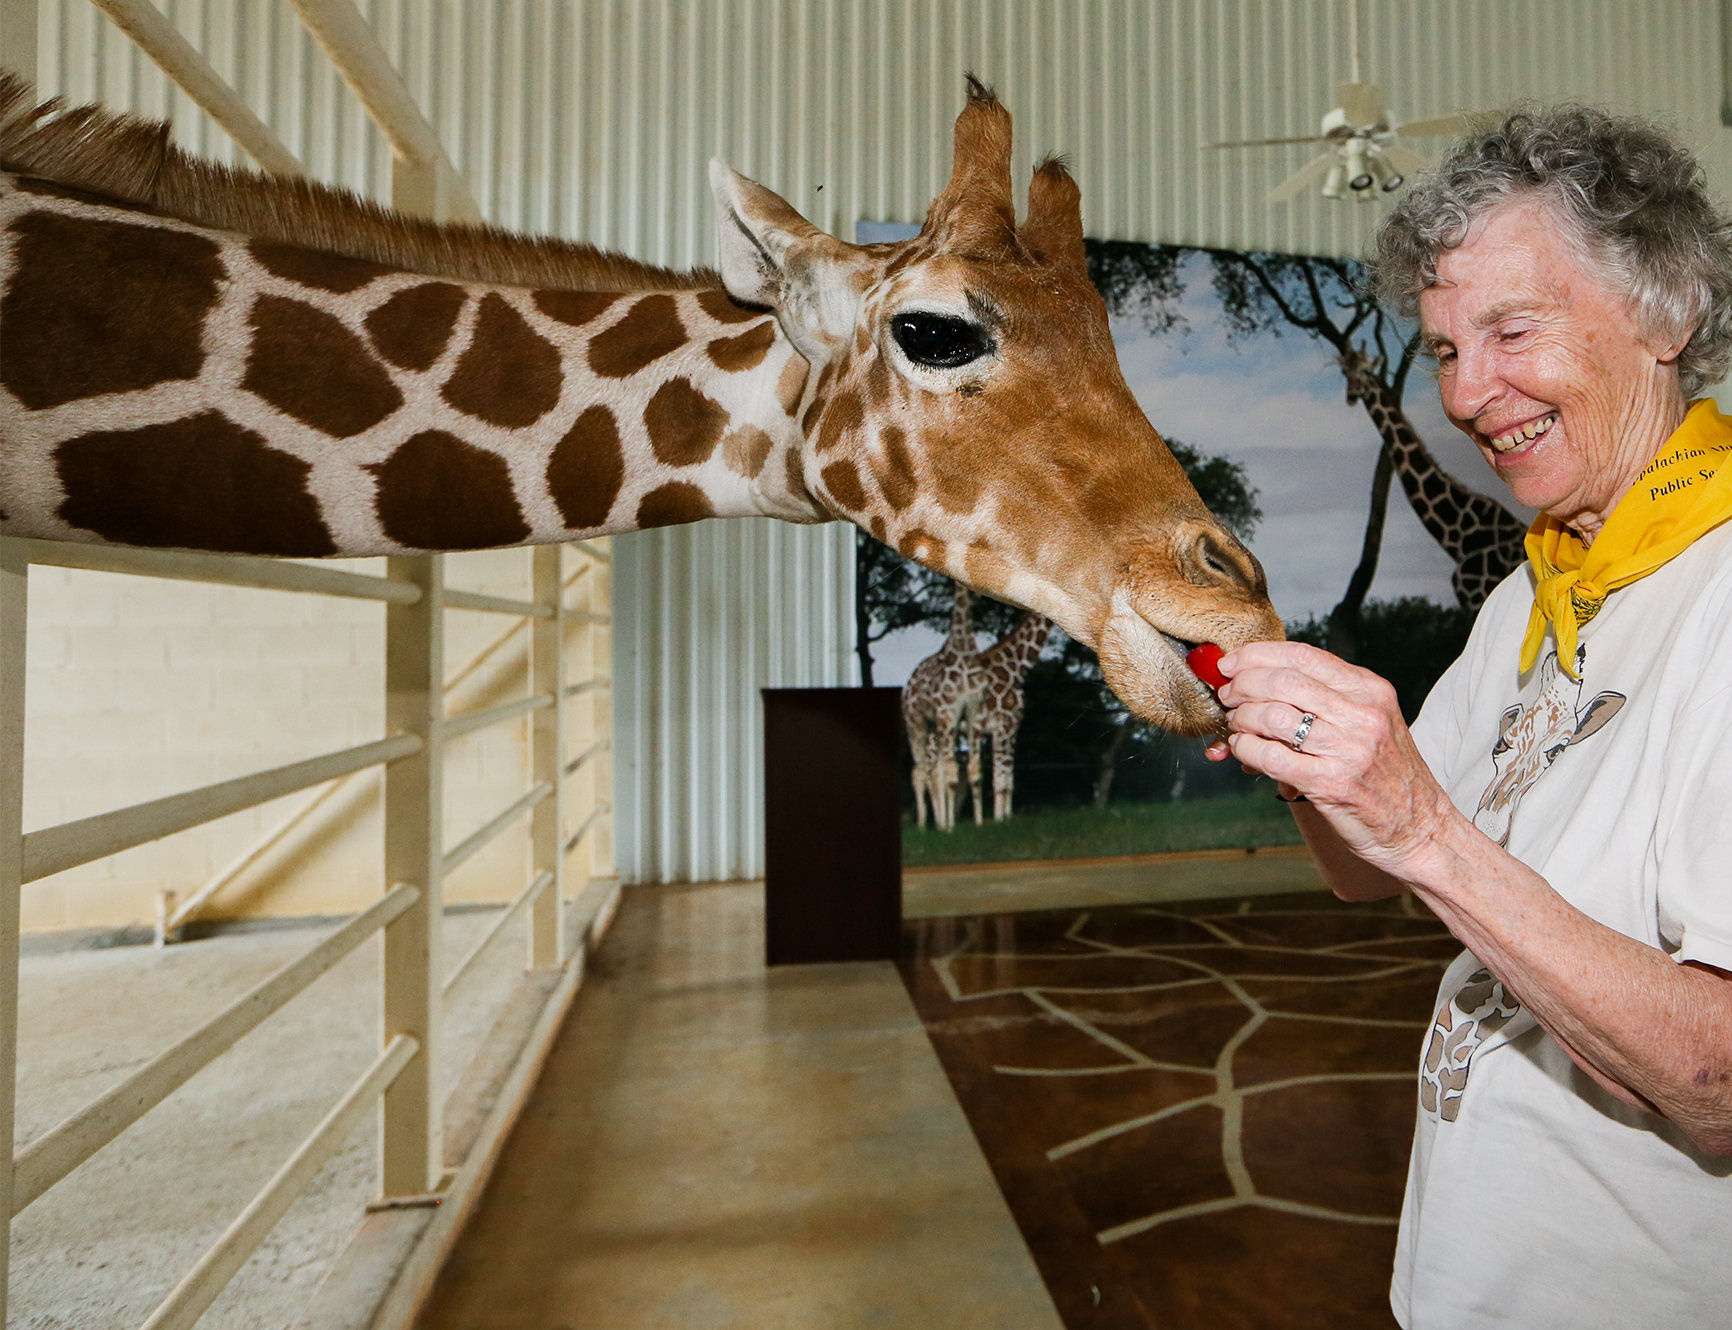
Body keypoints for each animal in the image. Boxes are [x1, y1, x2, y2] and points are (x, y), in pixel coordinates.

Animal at [900, 585, 983, 824]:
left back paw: (938, 820)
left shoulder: (973, 714)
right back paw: (923, 823)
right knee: (920, 772)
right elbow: (951, 776)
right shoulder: (949, 713)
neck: (963, 650)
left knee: (934, 772)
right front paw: (950, 827)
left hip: (934, 728)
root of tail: (907, 687)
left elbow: (974, 773)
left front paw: (979, 823)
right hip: (916, 724)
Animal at [962, 609, 1053, 820]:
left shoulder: (1013, 727)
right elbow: (998, 777)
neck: (1016, 668)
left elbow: (1008, 776)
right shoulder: (1000, 726)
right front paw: (998, 820)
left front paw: (1008, 817)